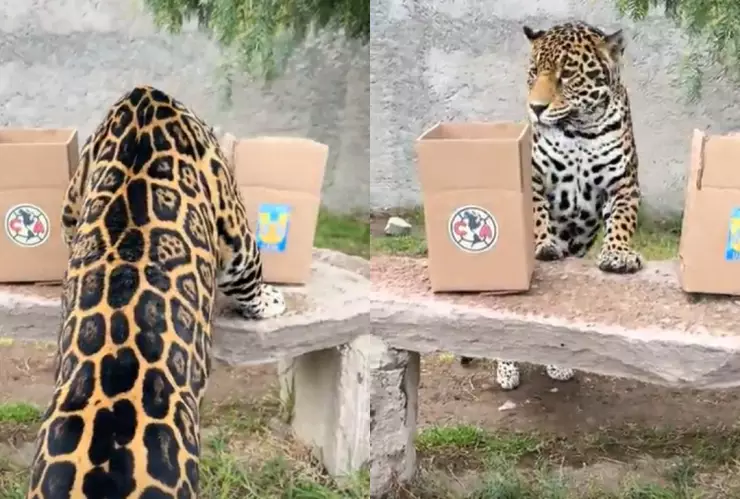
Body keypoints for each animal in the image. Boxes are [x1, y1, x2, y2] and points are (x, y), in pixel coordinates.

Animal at [461, 22, 642, 391]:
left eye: (566, 75)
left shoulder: (624, 186)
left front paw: (617, 254)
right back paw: (507, 369)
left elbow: (621, 222)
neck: (580, 133)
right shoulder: (532, 179)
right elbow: (536, 216)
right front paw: (544, 245)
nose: (536, 108)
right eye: (533, 73)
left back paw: (558, 365)